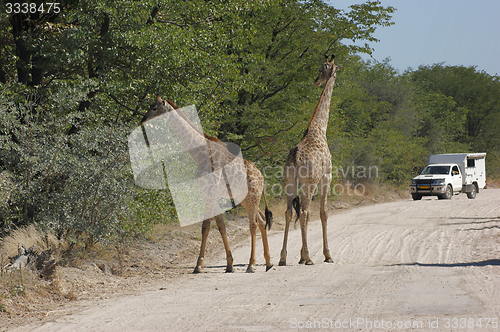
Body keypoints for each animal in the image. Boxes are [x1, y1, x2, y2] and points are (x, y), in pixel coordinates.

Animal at [141, 96, 274, 272]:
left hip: (253, 197)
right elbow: (219, 226)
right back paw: (268, 262)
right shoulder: (208, 193)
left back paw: (251, 264)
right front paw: (229, 264)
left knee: (253, 224)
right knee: (262, 221)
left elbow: (205, 226)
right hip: (246, 199)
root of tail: (262, 178)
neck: (200, 154)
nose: (143, 119)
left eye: (155, 108)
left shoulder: (210, 192)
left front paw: (199, 264)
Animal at [280, 55, 342, 268]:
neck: (320, 128)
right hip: (310, 182)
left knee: (289, 211)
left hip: (289, 182)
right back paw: (309, 257)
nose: (316, 81)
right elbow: (323, 212)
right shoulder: (326, 176)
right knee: (305, 211)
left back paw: (283, 257)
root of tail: (295, 158)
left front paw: (299, 256)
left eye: (321, 69)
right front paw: (327, 254)